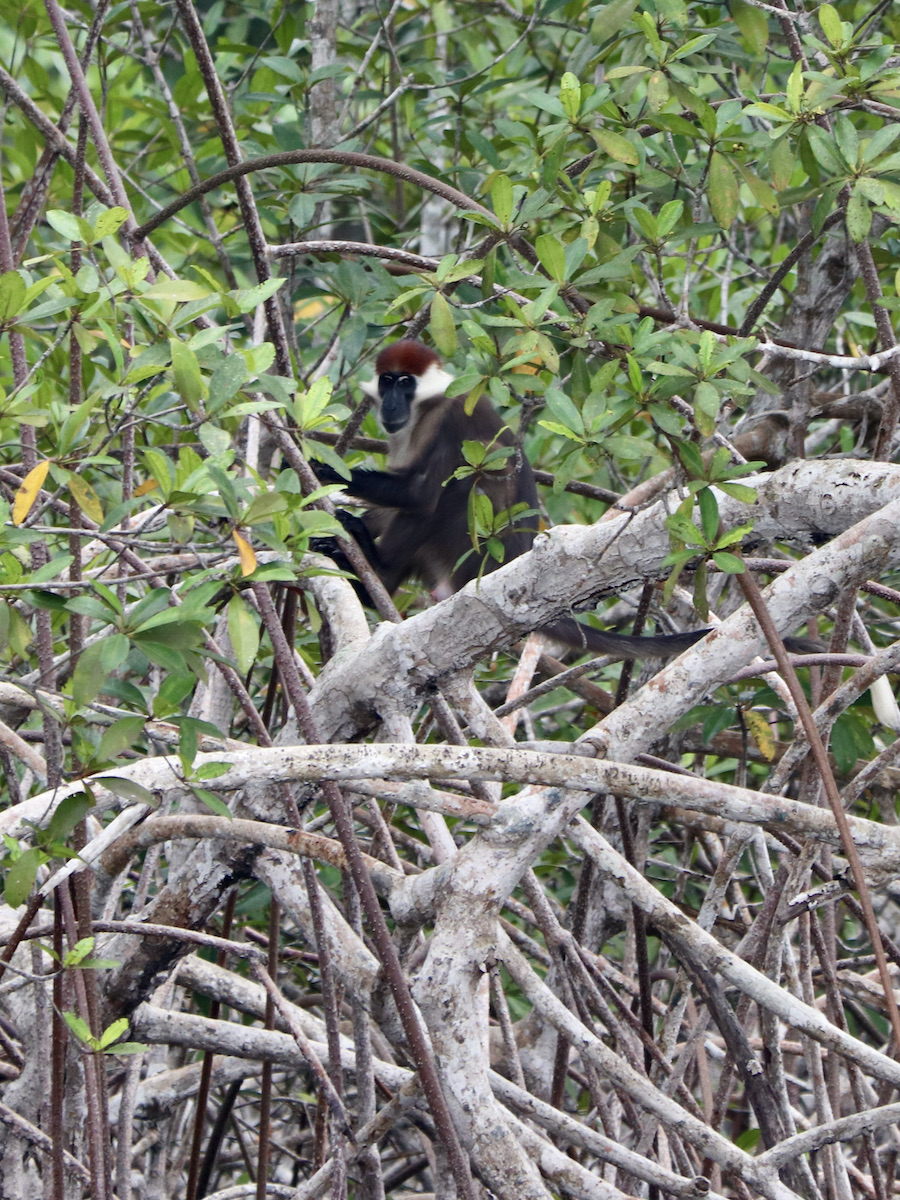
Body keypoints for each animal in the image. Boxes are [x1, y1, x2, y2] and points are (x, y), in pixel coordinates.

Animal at [312, 340, 817, 660]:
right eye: (387, 381)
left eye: (406, 383)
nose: (392, 403)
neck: (420, 414)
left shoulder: (451, 420)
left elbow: (419, 497)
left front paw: (324, 470)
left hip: (465, 553)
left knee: (448, 498)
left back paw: (374, 571)